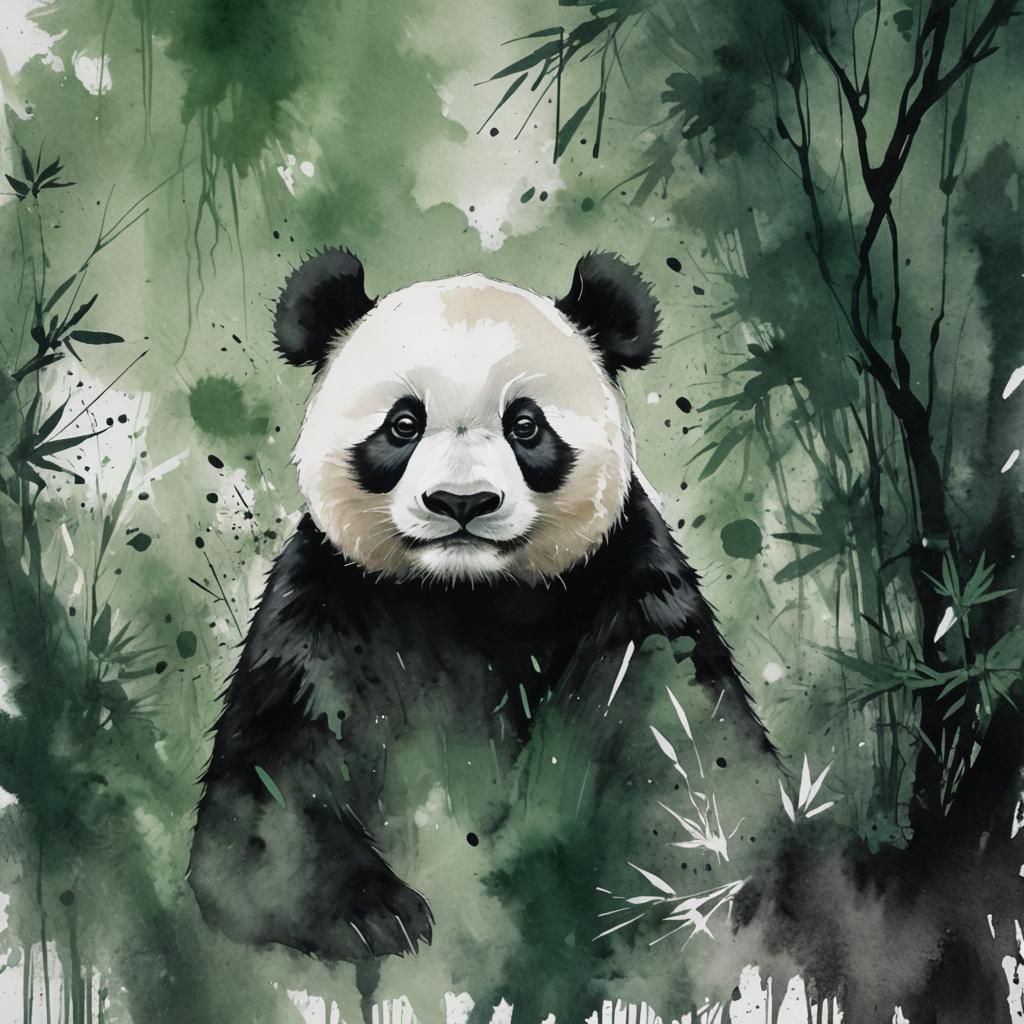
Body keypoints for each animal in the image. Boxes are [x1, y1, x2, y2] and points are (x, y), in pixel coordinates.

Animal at [187, 248, 774, 967]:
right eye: (403, 425)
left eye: (525, 425)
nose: (461, 502)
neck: (470, 593)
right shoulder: (328, 605)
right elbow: (266, 798)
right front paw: (381, 914)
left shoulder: (630, 589)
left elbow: (694, 753)